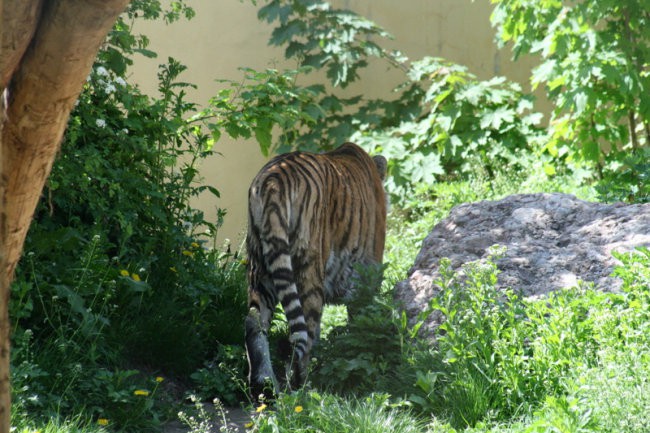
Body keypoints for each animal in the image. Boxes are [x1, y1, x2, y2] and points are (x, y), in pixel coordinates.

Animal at [243, 142, 384, 398]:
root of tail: (273, 181)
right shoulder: (370, 272)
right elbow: (361, 319)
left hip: (260, 268)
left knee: (254, 322)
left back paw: (264, 384)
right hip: (308, 268)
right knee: (304, 332)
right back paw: (302, 386)